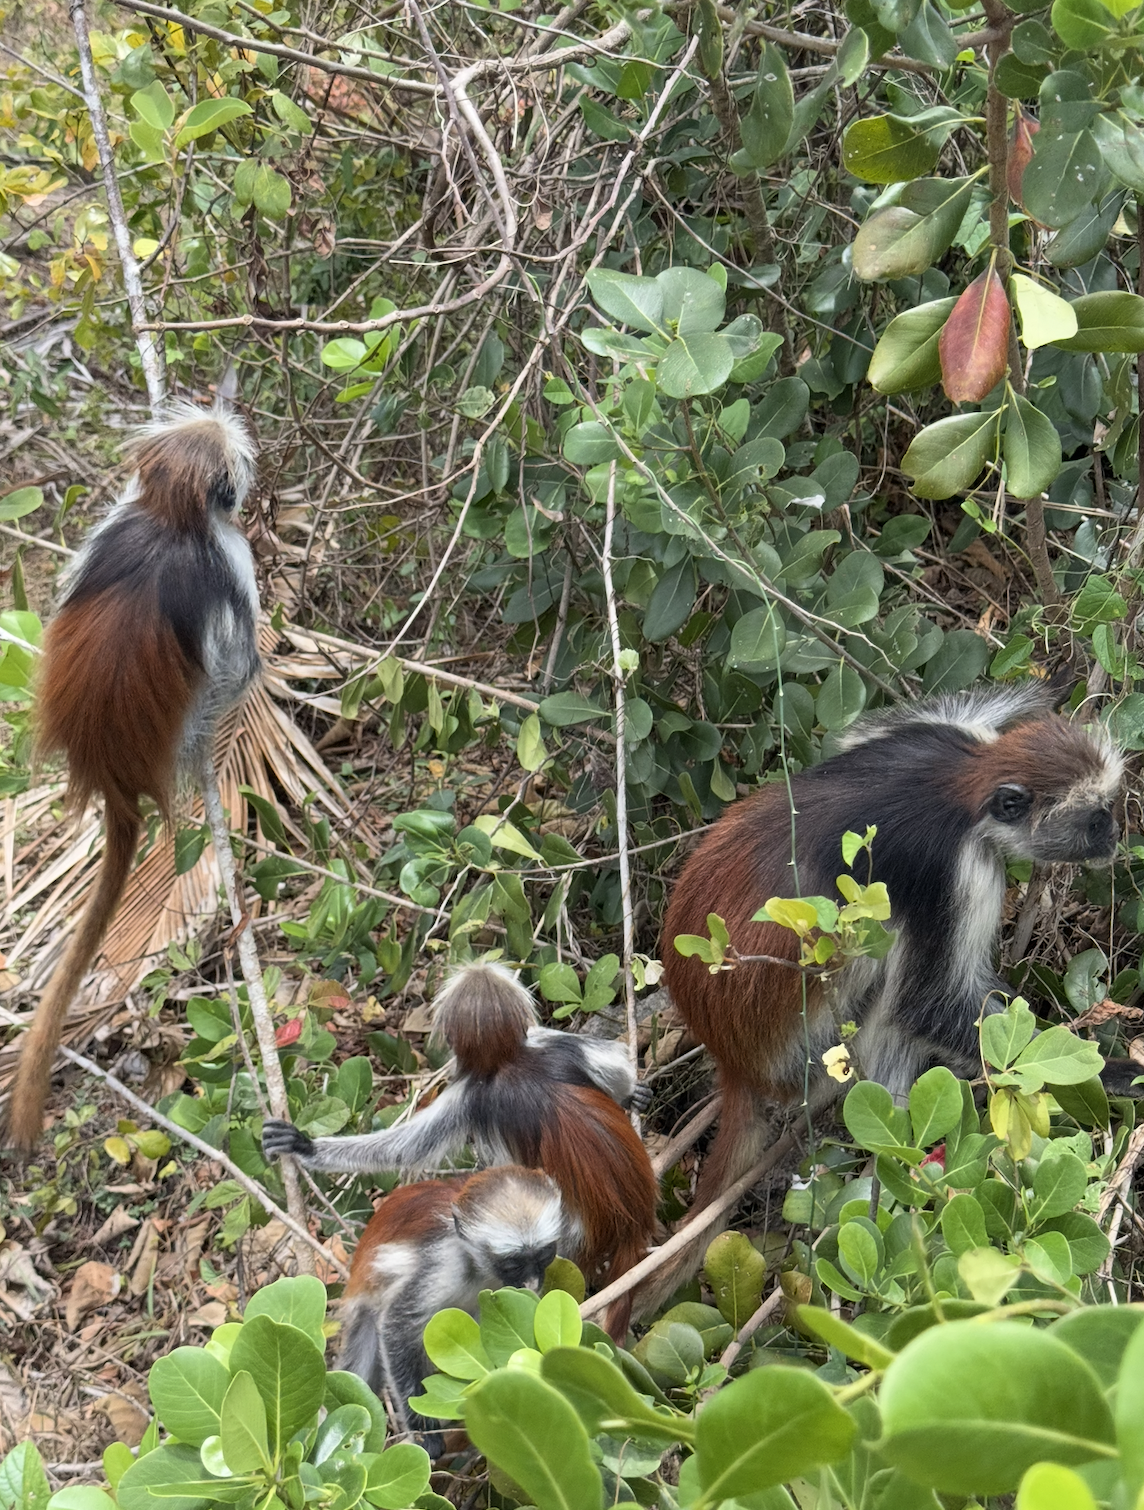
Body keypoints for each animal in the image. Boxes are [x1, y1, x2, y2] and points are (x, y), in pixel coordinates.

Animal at [263, 961, 658, 1338]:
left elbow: (403, 1151)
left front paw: (305, 1146)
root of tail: (634, 1219)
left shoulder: (469, 1095)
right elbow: (612, 1057)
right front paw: (628, 1092)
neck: (508, 1062)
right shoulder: (552, 1047)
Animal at [339, 1164, 570, 1455]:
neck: (479, 1267)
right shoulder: (443, 1261)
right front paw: (424, 1432)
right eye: (513, 1264)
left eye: (544, 1255)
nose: (531, 1282)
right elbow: (398, 1325)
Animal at [638, 682, 1137, 1314]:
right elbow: (927, 1006)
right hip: (806, 1052)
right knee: (891, 989)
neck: (961, 783)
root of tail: (733, 1058)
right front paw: (1116, 1072)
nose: (1116, 837)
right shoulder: (958, 869)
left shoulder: (933, 734)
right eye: (1096, 819)